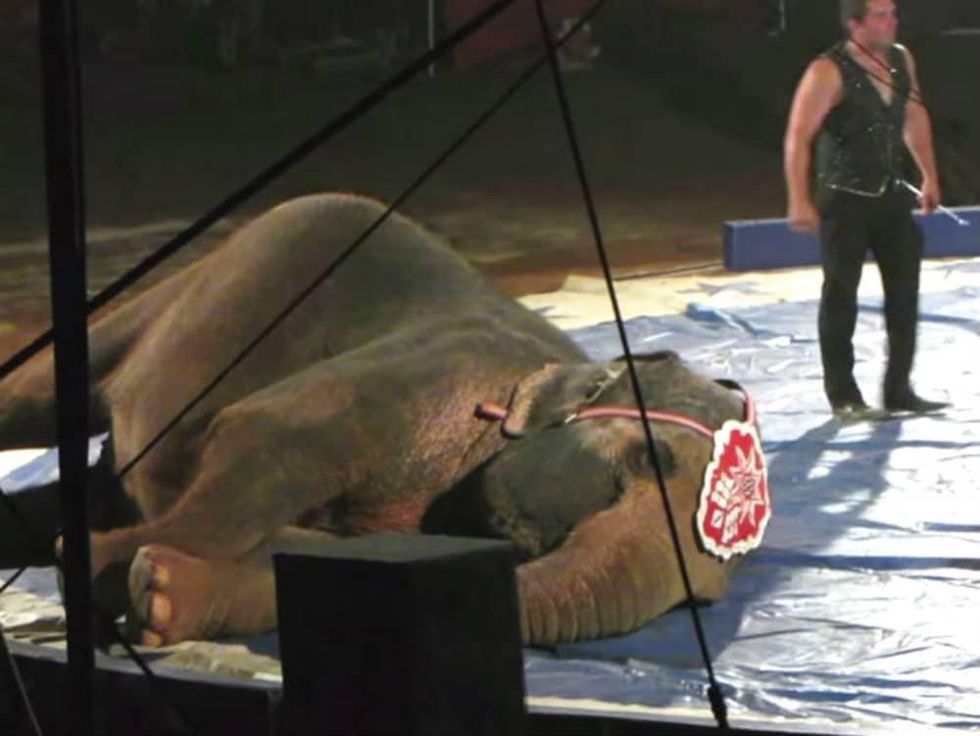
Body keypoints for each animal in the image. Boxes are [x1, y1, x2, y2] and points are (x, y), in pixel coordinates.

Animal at [0, 192, 769, 648]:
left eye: (706, 601)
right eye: (648, 461)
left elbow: (313, 557)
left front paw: (155, 593)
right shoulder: (417, 378)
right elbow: (265, 438)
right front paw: (100, 565)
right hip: (187, 290)